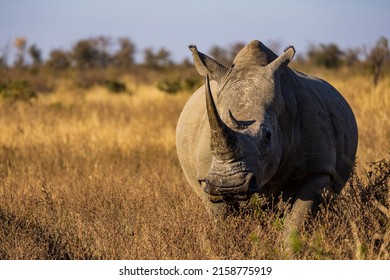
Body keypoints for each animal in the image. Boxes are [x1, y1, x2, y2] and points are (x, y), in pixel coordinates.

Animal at [175, 40, 358, 241]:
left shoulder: (317, 169)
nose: (229, 185)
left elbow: (296, 222)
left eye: (268, 136)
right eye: (210, 135)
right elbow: (221, 221)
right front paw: (225, 243)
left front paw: (290, 247)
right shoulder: (208, 181)